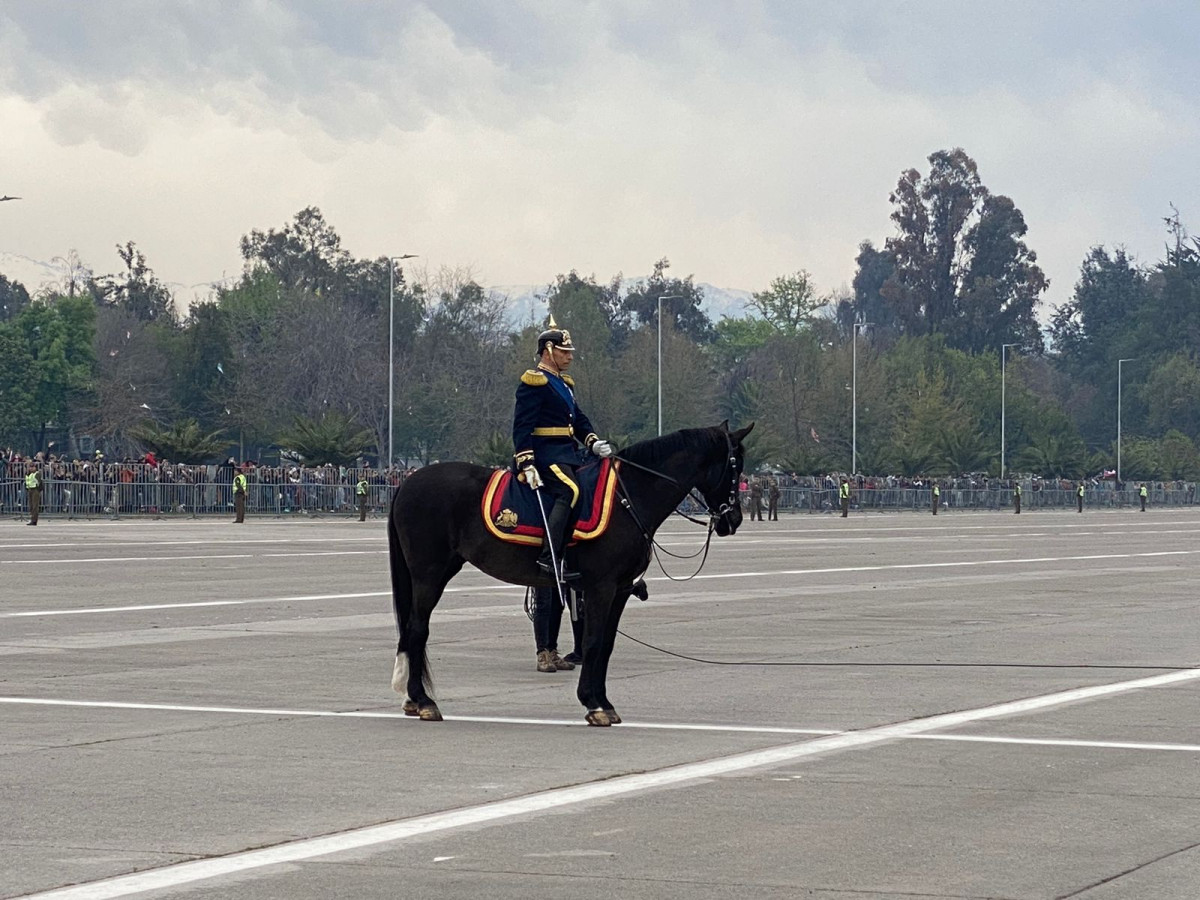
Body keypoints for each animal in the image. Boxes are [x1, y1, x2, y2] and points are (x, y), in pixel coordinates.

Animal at [388, 422, 753, 724]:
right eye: (736, 466)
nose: (733, 519)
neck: (629, 497)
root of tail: (409, 482)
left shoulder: (620, 590)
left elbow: (606, 644)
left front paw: (604, 702)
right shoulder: (601, 588)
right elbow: (592, 641)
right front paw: (593, 704)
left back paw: (412, 699)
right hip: (428, 574)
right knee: (417, 629)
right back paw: (423, 701)